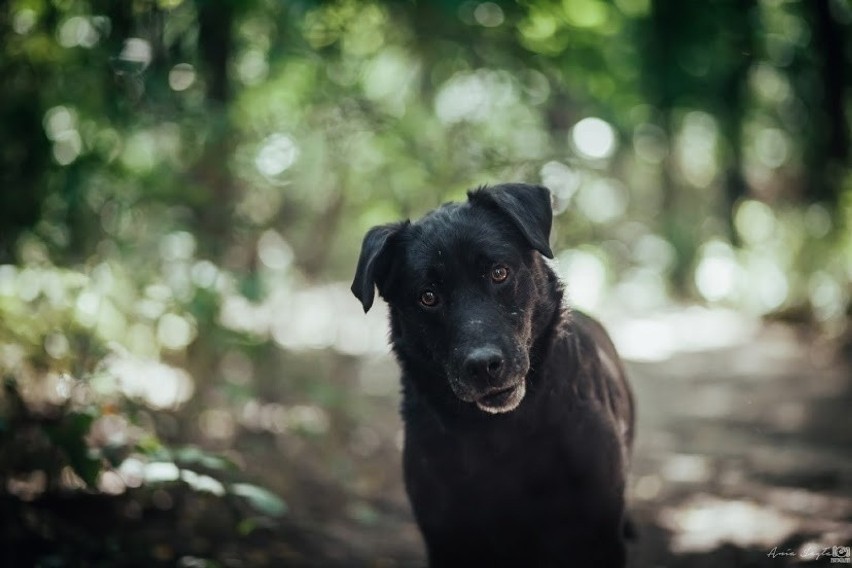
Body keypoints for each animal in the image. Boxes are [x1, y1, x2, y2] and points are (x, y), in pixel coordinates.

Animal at [350, 184, 636, 564]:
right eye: (428, 297)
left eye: (499, 273)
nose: (483, 365)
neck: (500, 433)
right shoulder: (448, 538)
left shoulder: (597, 536)